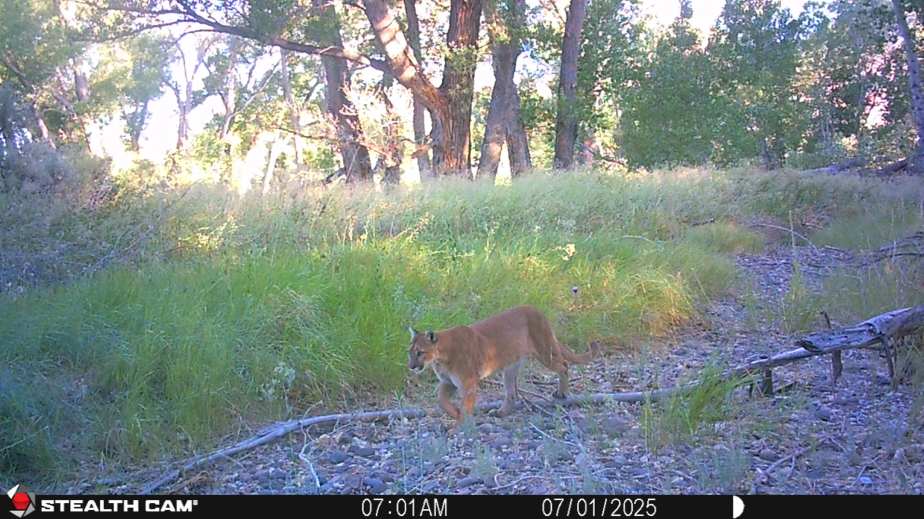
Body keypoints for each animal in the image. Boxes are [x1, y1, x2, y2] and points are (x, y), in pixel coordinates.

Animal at [407, 305, 601, 426]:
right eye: (410, 352)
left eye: (419, 352)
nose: (411, 366)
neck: (440, 356)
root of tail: (536, 310)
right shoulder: (449, 382)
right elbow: (441, 400)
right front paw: (455, 413)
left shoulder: (467, 383)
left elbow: (465, 405)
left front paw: (459, 425)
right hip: (510, 367)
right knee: (511, 392)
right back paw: (501, 412)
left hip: (545, 351)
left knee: (564, 365)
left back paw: (561, 393)